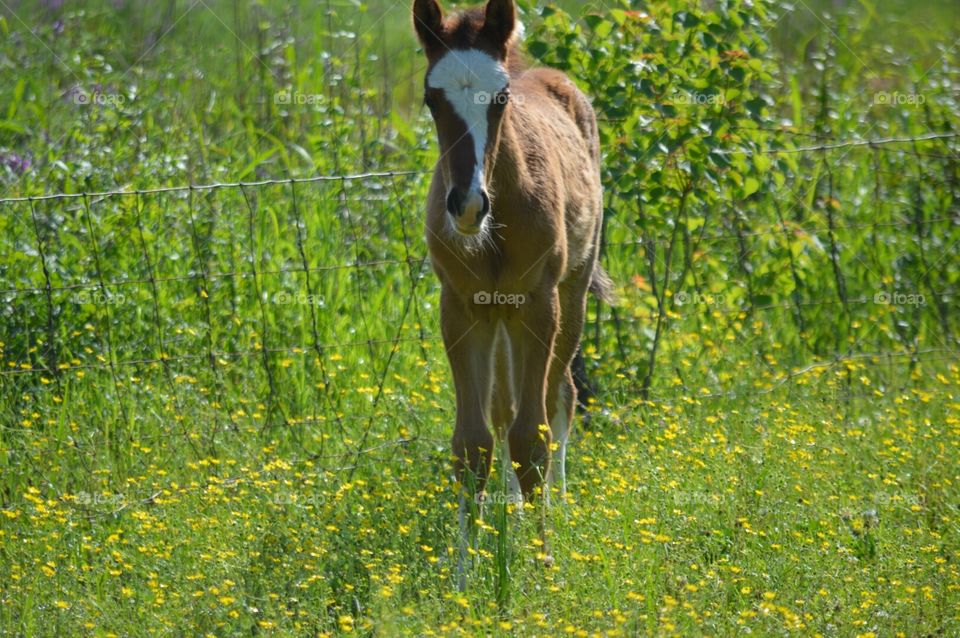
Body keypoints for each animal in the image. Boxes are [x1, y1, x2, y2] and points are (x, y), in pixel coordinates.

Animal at [412, 0, 608, 568]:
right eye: (432, 98)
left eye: (500, 98)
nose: (466, 205)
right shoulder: (460, 309)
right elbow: (472, 443)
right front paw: (465, 569)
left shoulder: (539, 307)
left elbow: (532, 437)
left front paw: (543, 564)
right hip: (498, 317)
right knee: (502, 408)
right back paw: (513, 510)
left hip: (570, 294)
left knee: (561, 395)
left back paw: (555, 508)